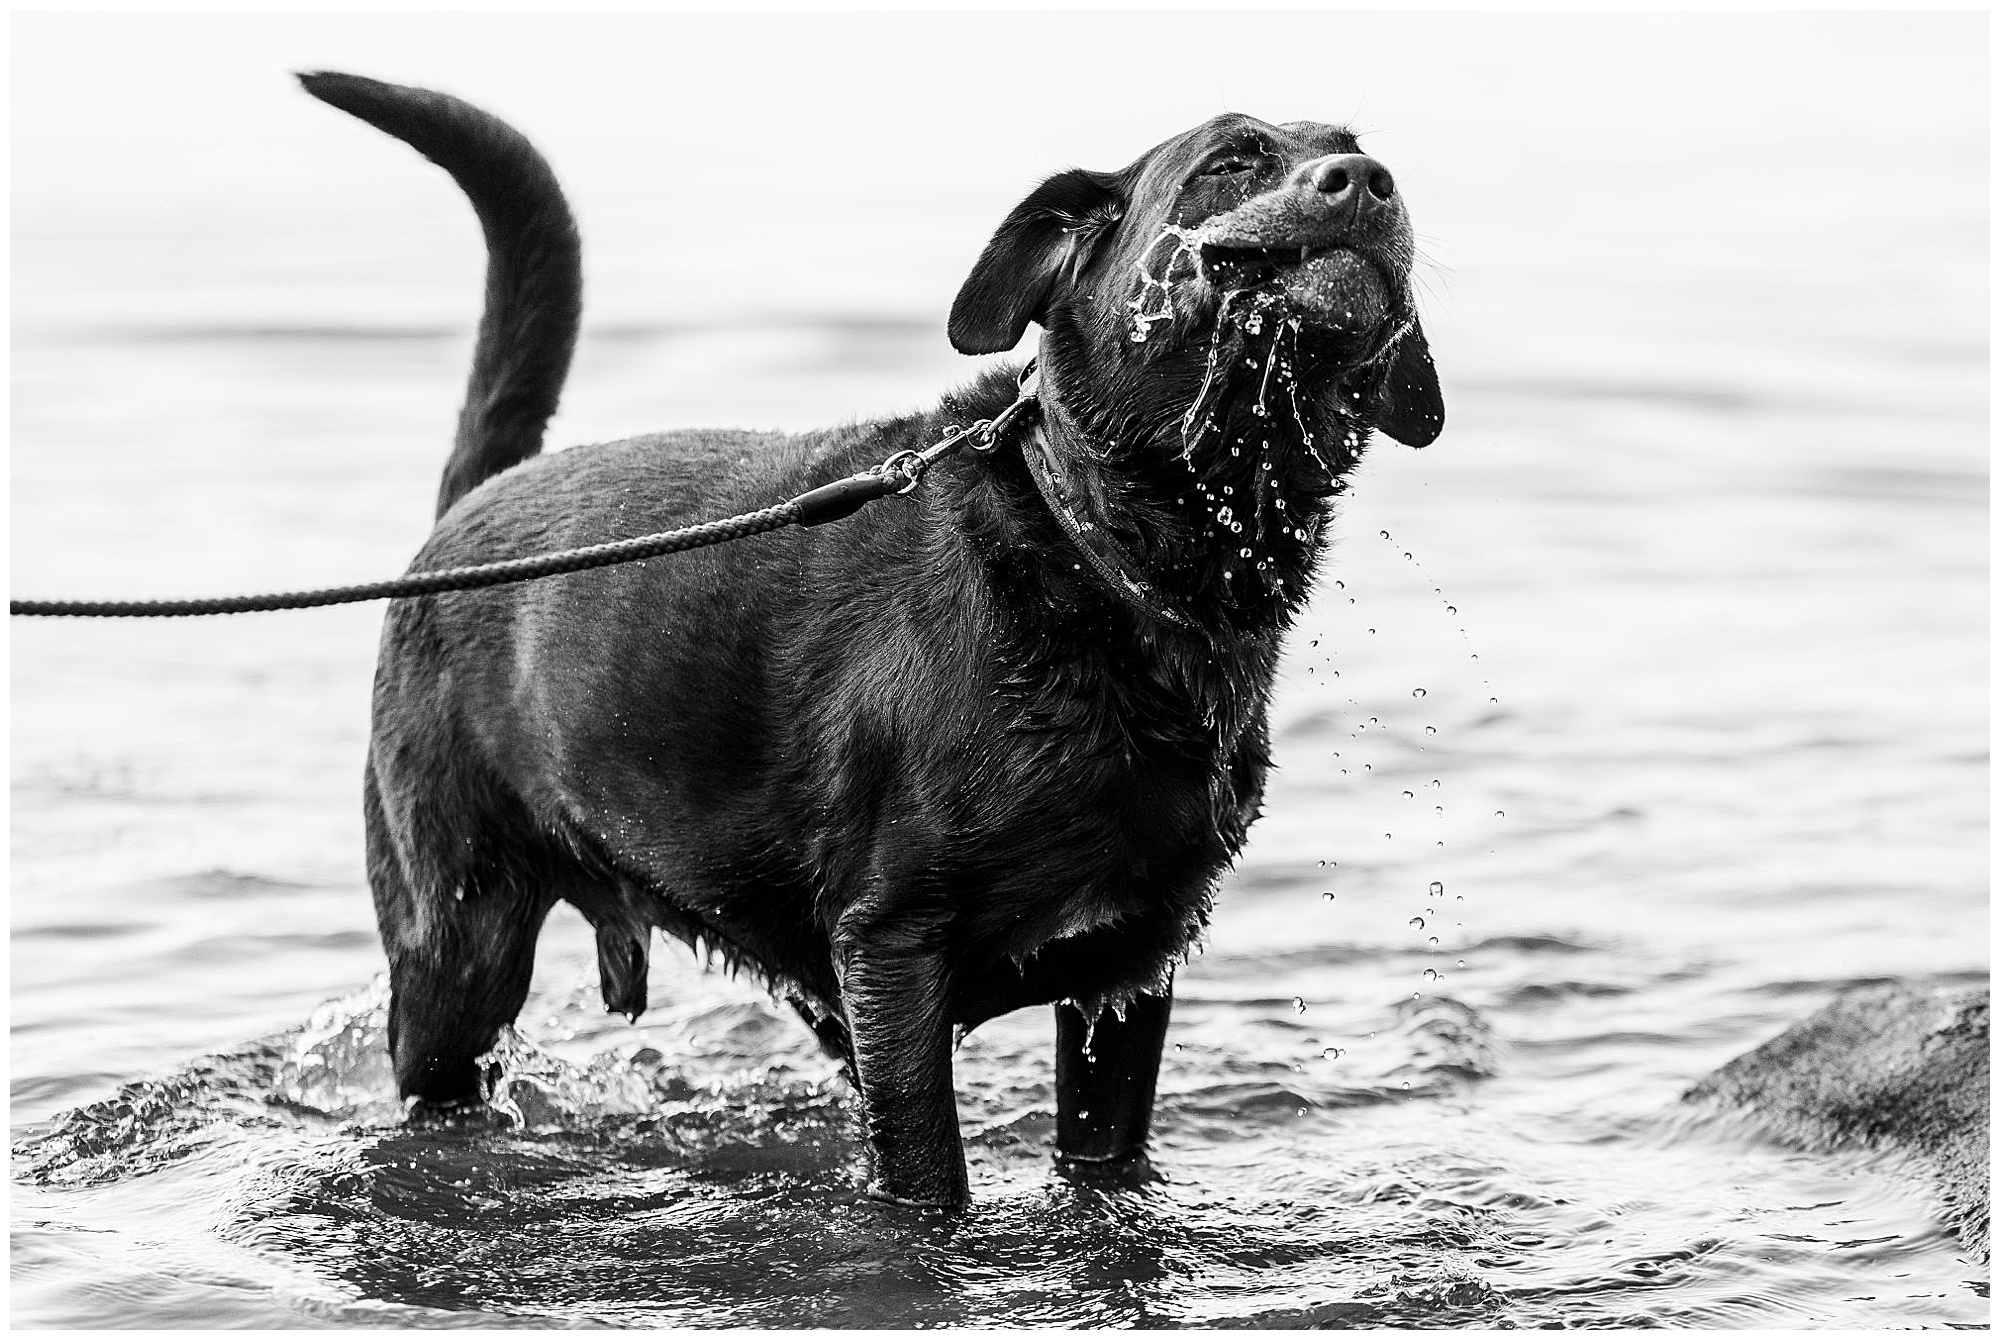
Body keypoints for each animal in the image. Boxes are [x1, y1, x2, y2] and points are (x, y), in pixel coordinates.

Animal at [300, 71, 1440, 1208]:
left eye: (1351, 148)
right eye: (1231, 162)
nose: (1366, 180)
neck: (1106, 560)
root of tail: (473, 502)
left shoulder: (1126, 974)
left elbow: (1102, 1157)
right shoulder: (892, 957)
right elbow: (929, 1181)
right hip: (457, 946)